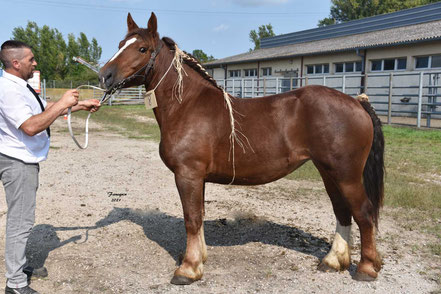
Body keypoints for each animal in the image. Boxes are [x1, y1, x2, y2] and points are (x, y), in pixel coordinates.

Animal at [98, 12, 384, 284]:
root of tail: (357, 102)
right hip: (329, 172)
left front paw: (188, 269)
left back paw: (366, 268)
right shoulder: (198, 178)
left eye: (142, 48)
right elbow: (199, 216)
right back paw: (333, 261)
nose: (104, 76)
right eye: (121, 44)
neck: (187, 106)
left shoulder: (188, 175)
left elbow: (191, 219)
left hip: (346, 175)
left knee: (363, 213)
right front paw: (199, 259)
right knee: (342, 211)